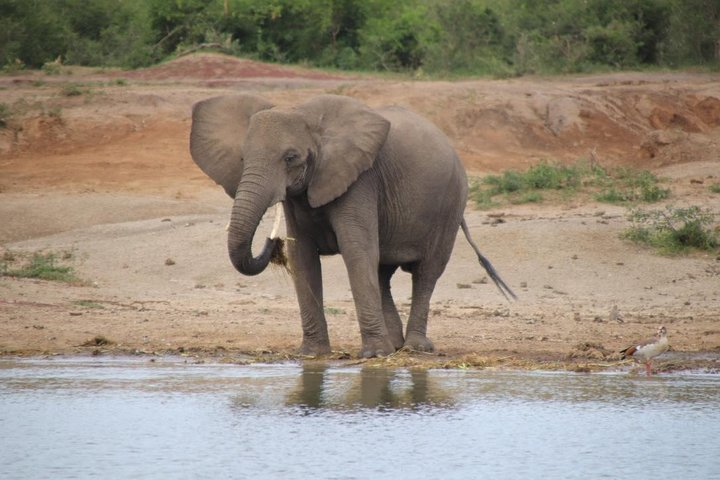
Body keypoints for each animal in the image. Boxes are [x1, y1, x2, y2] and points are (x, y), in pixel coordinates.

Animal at [188, 94, 516, 358]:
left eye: (291, 157)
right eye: (243, 158)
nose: (272, 242)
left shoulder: (360, 180)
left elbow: (357, 251)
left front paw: (373, 355)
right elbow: (303, 258)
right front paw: (312, 354)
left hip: (450, 205)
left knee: (426, 273)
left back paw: (414, 348)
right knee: (382, 273)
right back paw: (395, 345)